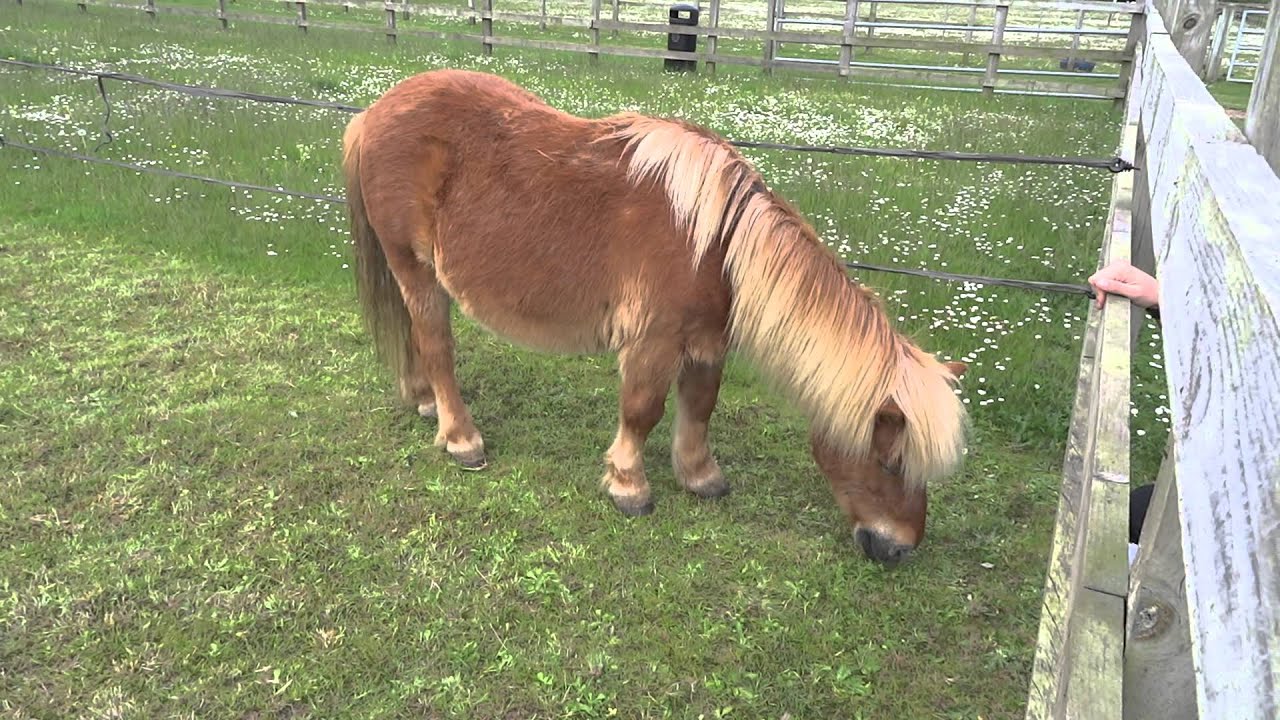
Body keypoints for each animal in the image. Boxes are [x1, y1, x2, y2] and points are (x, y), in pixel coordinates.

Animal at [340, 68, 969, 565]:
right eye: (892, 463)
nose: (900, 549)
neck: (716, 241)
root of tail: (372, 114)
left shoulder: (707, 342)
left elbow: (700, 405)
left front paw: (700, 476)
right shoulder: (654, 341)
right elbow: (643, 411)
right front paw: (629, 486)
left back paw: (423, 400)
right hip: (416, 271)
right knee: (436, 346)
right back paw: (460, 436)